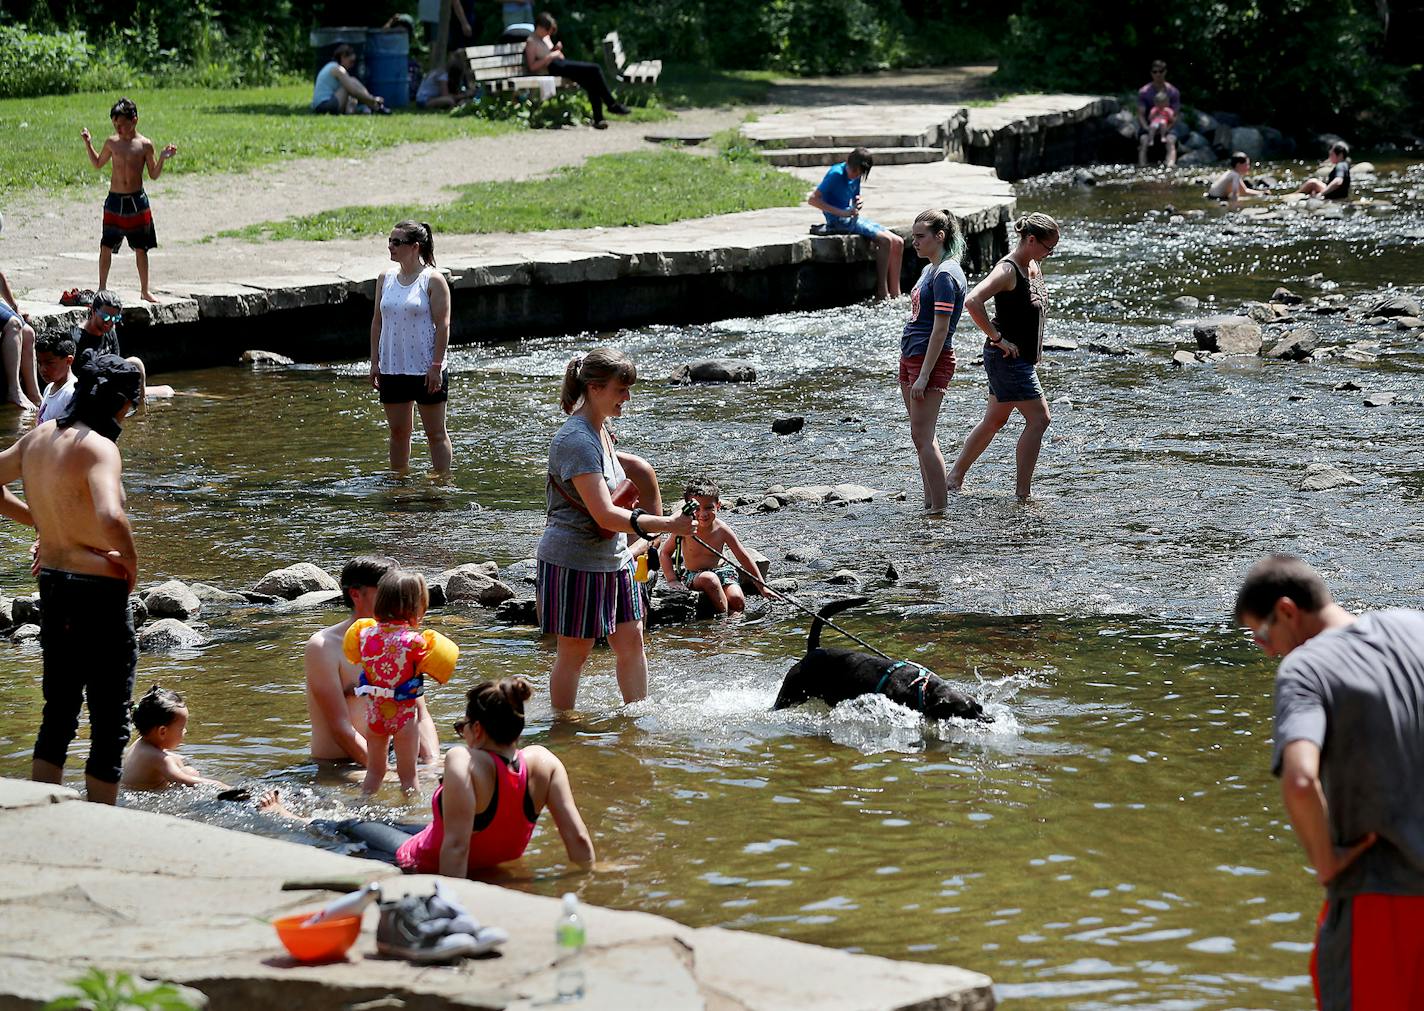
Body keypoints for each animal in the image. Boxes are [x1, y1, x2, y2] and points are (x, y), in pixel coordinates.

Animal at [774, 600, 985, 720]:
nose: (988, 719)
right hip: (788, 694)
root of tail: (814, 651)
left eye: (979, 708)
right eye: (964, 713)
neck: (922, 688)